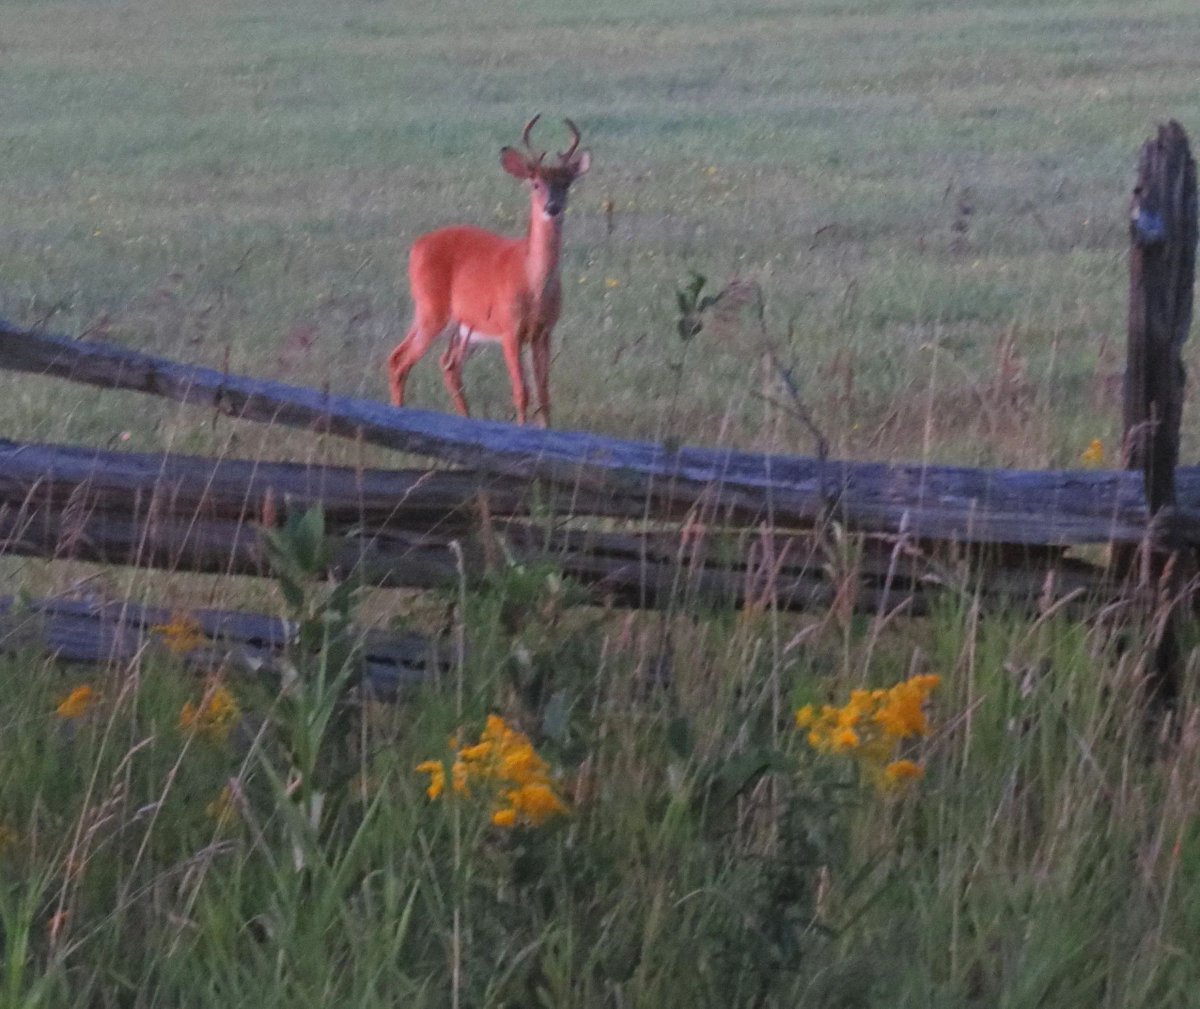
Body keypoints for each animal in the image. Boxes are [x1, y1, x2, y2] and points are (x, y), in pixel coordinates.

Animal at [384, 116, 590, 424]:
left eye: (565, 184)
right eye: (535, 183)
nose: (552, 207)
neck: (532, 284)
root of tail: (417, 246)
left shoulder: (544, 332)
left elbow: (544, 394)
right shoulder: (509, 329)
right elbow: (522, 392)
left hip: (462, 325)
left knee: (447, 365)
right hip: (431, 307)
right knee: (400, 359)